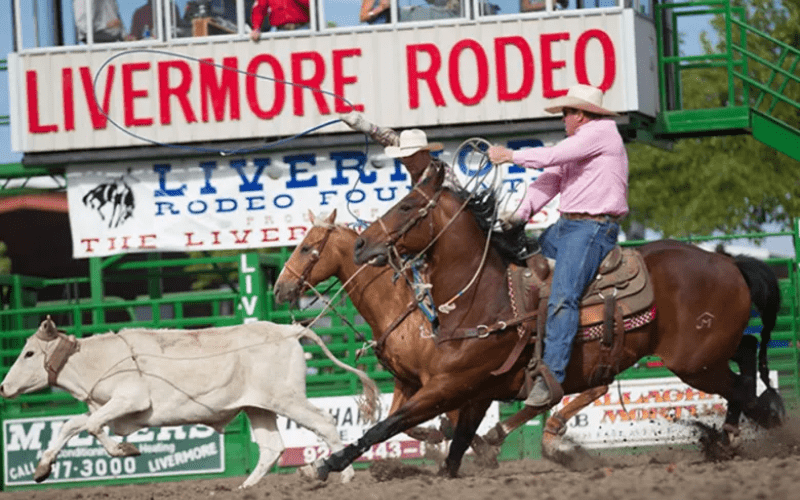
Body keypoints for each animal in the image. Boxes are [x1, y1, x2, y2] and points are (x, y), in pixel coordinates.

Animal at [272, 208, 604, 460]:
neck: (400, 307)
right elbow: (403, 421)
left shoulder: (446, 380)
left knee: (586, 388)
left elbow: (450, 420)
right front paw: (436, 436)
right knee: (590, 387)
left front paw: (479, 450)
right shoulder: (407, 380)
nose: (279, 288)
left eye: (305, 247)